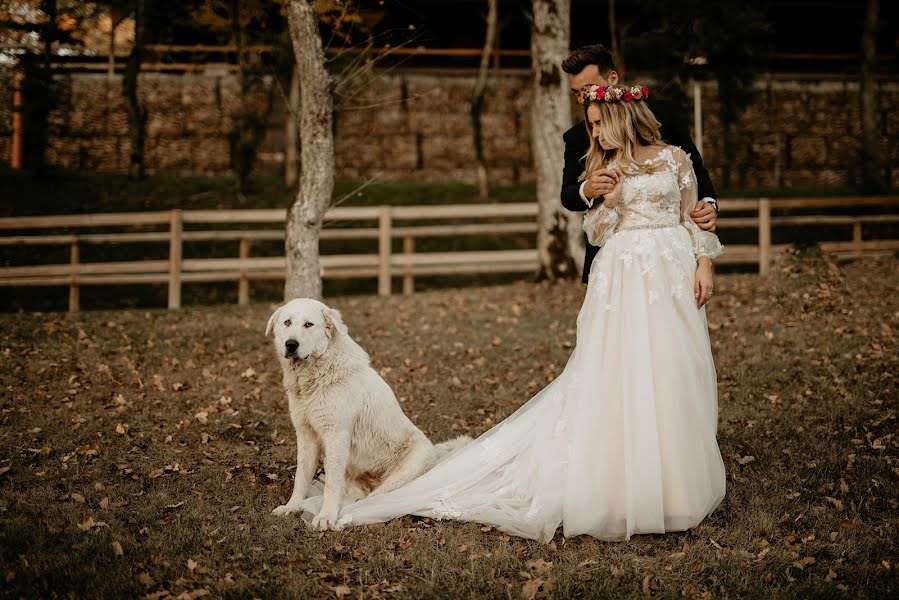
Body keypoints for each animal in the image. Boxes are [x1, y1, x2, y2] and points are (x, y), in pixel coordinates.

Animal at [266, 298, 468, 528]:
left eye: (309, 324)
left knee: (377, 500)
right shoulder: (306, 434)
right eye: (287, 322)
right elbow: (301, 477)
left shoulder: (336, 436)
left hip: (406, 470)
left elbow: (331, 485)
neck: (315, 377)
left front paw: (326, 517)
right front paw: (292, 507)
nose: (291, 344)